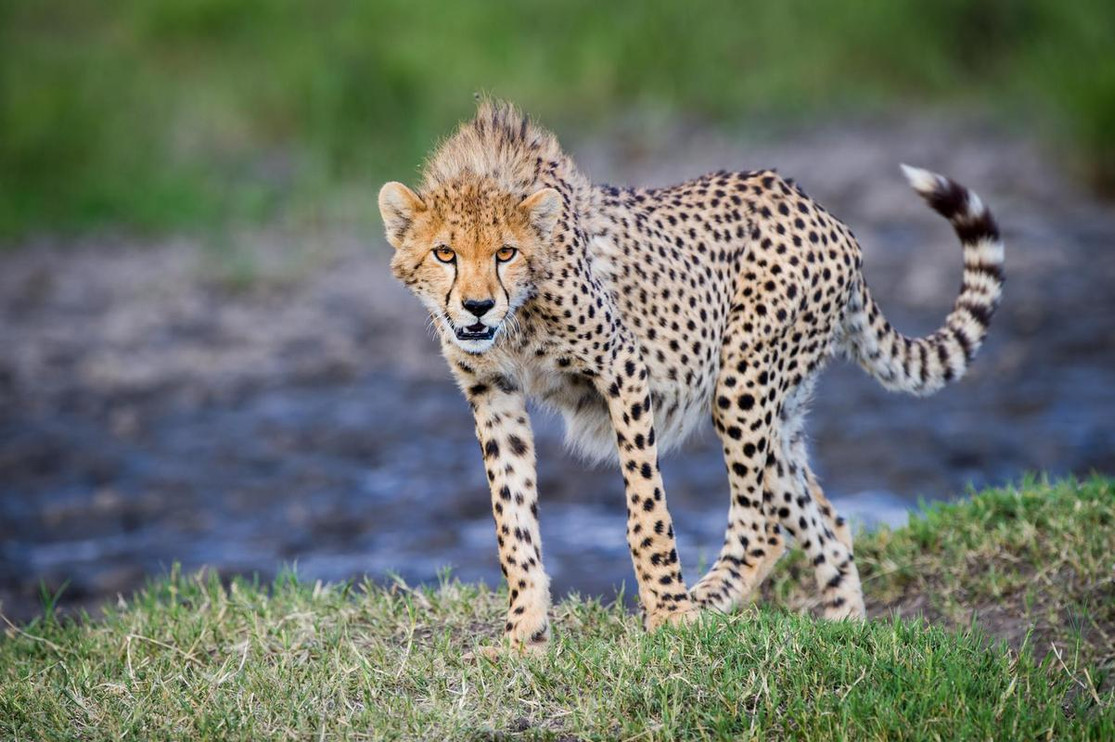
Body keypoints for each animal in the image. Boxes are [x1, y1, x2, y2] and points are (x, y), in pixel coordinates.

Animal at [377, 99, 1004, 653]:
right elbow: (513, 521)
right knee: (825, 522)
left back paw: (702, 603)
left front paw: (667, 611)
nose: (478, 307)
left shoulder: (624, 368)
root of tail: (817, 207)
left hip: (741, 382)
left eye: (505, 253)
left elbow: (646, 508)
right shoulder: (494, 392)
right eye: (444, 253)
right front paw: (524, 637)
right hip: (782, 413)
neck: (518, 319)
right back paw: (845, 633)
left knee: (763, 525)